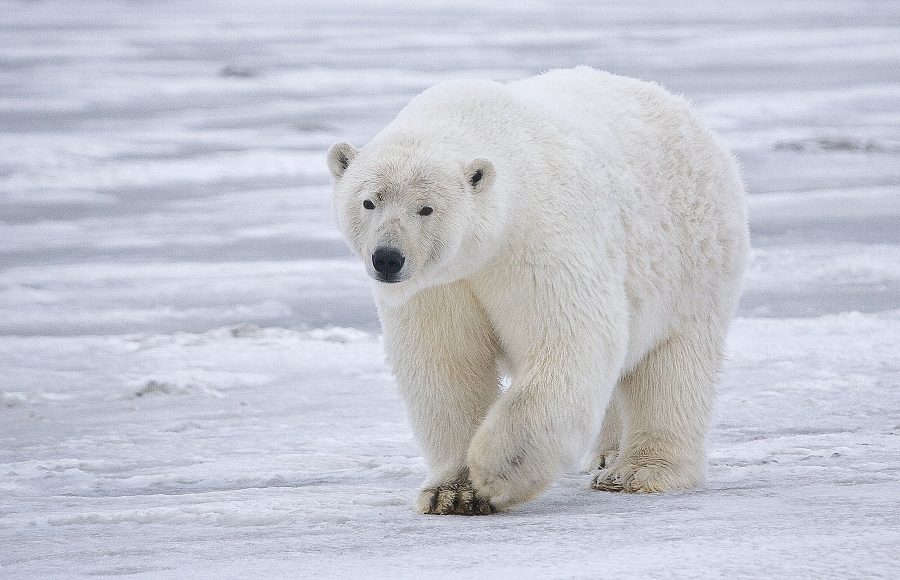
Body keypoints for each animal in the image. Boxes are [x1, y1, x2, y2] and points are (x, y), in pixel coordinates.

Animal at [326, 66, 749, 515]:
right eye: (369, 202)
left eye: (426, 208)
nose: (388, 258)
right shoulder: (440, 285)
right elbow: (446, 364)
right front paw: (451, 492)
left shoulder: (538, 240)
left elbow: (569, 339)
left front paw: (495, 472)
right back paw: (605, 454)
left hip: (693, 259)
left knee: (672, 367)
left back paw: (637, 471)